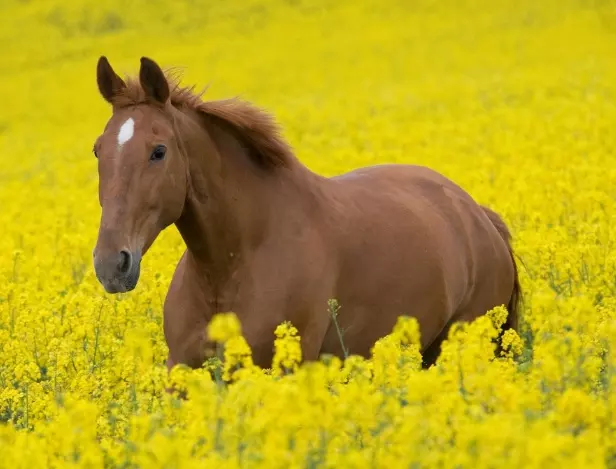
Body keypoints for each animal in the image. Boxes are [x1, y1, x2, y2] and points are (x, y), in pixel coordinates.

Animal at [90, 54, 520, 372]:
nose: (112, 265)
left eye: (158, 151)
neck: (231, 265)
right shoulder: (181, 371)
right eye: (98, 149)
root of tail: (479, 216)